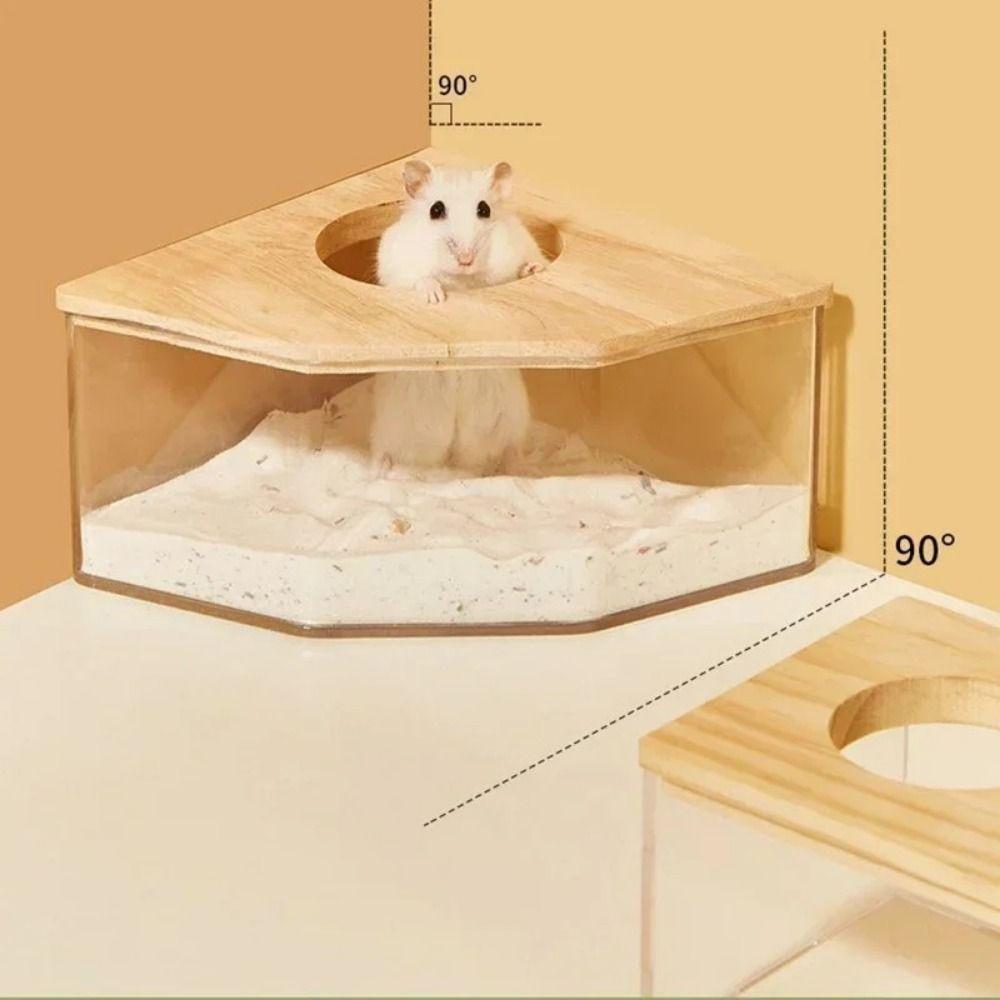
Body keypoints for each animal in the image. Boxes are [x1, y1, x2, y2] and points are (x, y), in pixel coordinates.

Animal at [370, 160, 544, 476]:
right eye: (435, 210)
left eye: (484, 209)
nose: (465, 259)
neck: (463, 280)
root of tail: (451, 456)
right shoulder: (394, 262)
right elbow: (418, 279)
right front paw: (435, 296)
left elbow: (526, 265)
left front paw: (533, 269)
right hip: (389, 425)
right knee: (382, 451)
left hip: (513, 415)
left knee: (512, 450)